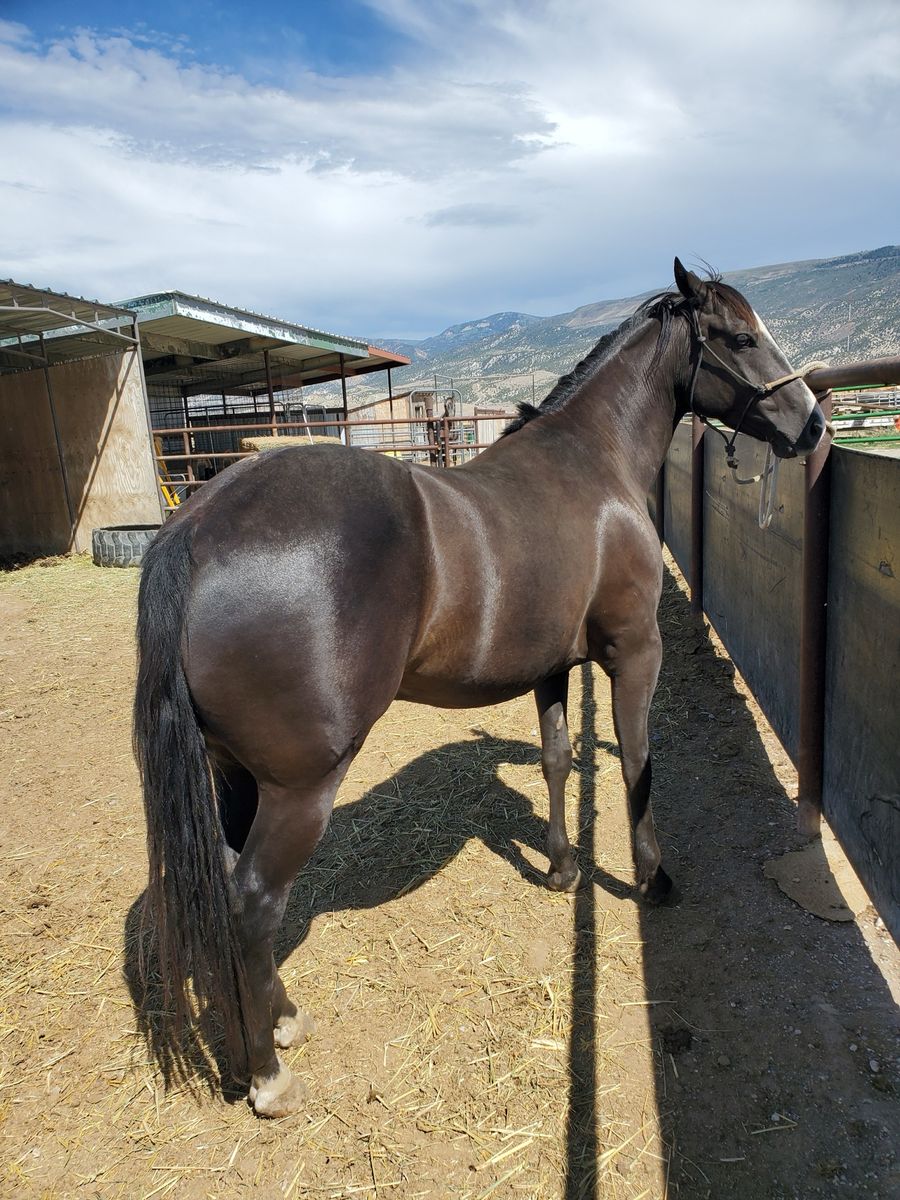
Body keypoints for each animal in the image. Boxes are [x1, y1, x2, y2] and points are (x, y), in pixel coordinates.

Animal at [133, 259, 827, 1117]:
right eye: (739, 336)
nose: (811, 424)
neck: (593, 465)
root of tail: (198, 527)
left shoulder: (553, 669)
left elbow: (559, 760)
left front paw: (562, 870)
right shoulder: (635, 653)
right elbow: (638, 766)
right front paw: (653, 877)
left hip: (236, 779)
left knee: (234, 898)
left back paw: (281, 1020)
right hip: (299, 787)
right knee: (256, 902)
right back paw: (269, 1077)